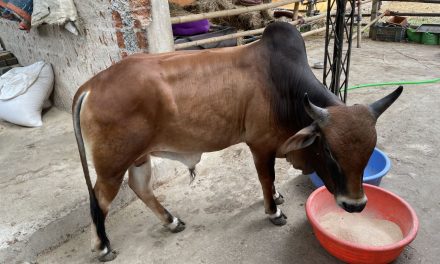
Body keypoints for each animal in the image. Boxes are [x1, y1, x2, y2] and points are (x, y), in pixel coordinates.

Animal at [71, 22, 402, 260]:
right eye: (330, 151)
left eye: (369, 152)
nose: (355, 205)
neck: (285, 88)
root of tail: (90, 85)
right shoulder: (261, 145)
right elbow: (267, 178)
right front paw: (274, 211)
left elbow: (270, 182)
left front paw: (277, 197)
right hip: (112, 165)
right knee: (100, 200)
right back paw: (102, 246)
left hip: (138, 157)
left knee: (140, 187)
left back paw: (172, 221)